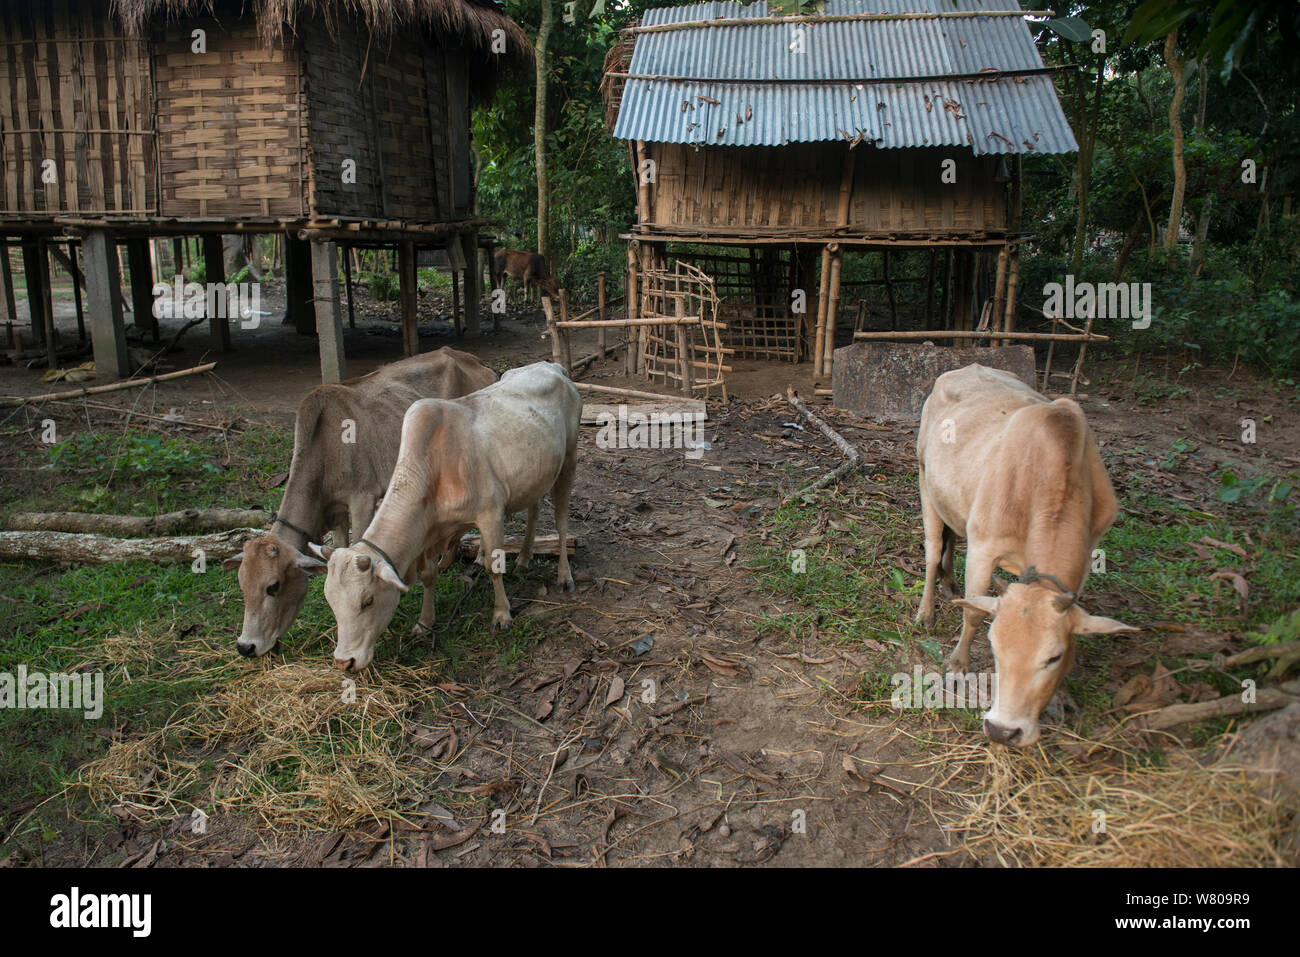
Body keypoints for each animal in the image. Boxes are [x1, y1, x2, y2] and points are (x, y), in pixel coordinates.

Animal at [220, 348, 493, 657]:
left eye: (273, 586)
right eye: (242, 585)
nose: (246, 646)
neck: (324, 446)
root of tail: (471, 359)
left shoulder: (362, 498)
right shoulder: (337, 511)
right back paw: (447, 559)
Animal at [314, 361, 579, 670]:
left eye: (367, 601)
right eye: (330, 600)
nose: (344, 662)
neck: (436, 468)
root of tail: (552, 366)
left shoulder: (490, 513)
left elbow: (494, 566)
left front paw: (501, 615)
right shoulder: (429, 532)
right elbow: (429, 576)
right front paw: (424, 622)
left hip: (569, 458)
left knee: (561, 520)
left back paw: (564, 575)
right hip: (536, 473)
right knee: (535, 508)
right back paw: (524, 558)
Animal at [915, 366, 1138, 748]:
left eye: (1054, 657)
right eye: (994, 648)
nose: (1003, 731)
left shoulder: (1087, 554)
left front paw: (1061, 697)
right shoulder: (984, 546)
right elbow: (974, 613)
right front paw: (958, 663)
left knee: (951, 535)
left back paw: (949, 582)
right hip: (924, 477)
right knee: (932, 550)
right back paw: (926, 610)